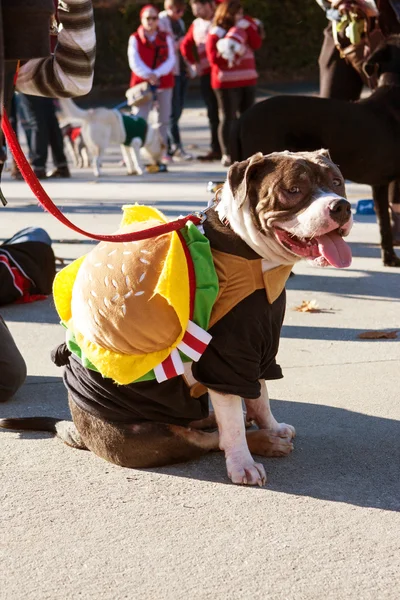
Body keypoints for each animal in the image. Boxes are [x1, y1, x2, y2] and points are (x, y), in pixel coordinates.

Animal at [1, 151, 354, 488]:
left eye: (337, 182)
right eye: (293, 190)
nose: (342, 207)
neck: (254, 256)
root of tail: (79, 428)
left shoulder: (260, 347)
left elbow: (261, 398)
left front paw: (271, 424)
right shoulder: (226, 358)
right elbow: (232, 427)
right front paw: (244, 464)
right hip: (150, 435)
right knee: (209, 440)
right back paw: (260, 441)